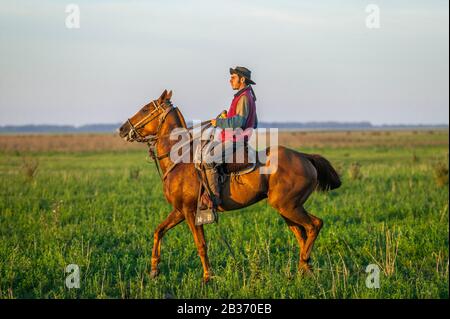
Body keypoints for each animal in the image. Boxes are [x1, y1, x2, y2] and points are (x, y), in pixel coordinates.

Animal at [119, 89, 342, 282]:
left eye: (146, 109)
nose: (122, 129)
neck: (179, 159)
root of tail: (305, 157)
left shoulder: (190, 211)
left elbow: (201, 245)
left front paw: (207, 278)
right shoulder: (180, 211)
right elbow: (159, 231)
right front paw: (154, 270)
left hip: (288, 206)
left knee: (314, 225)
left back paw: (304, 264)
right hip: (287, 209)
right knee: (302, 234)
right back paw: (305, 269)